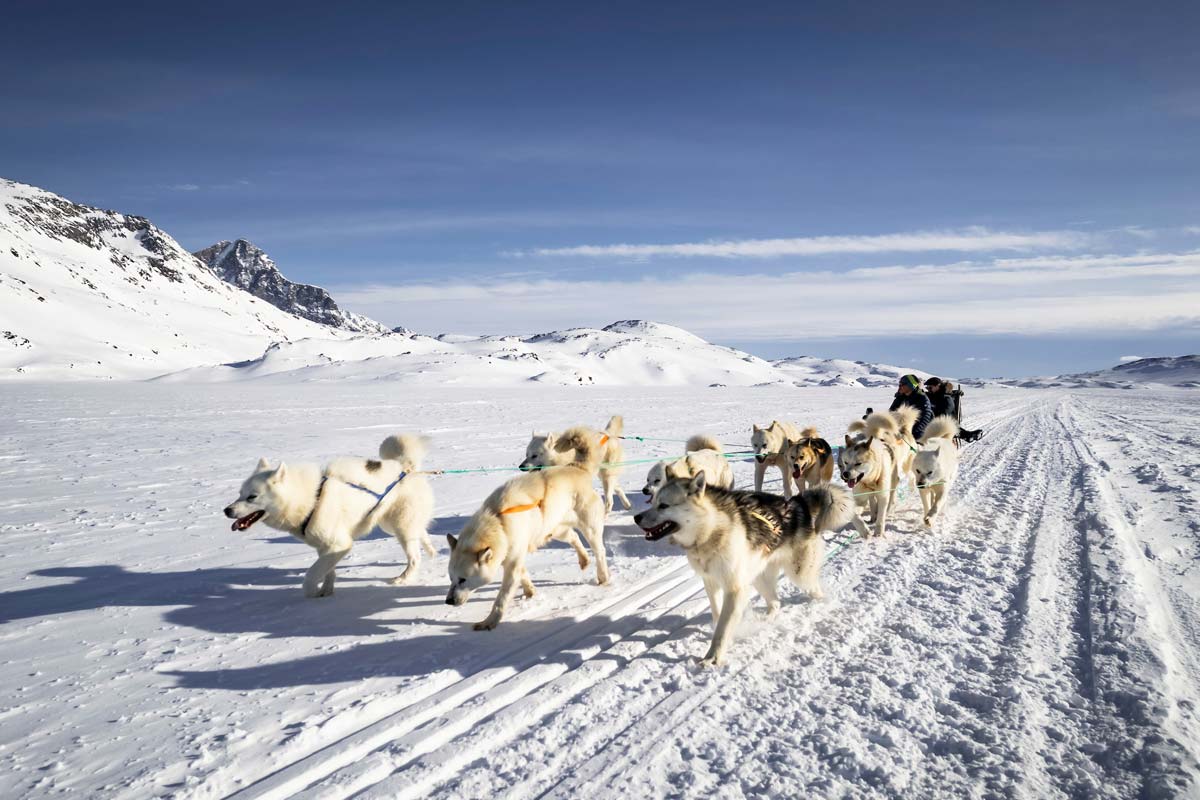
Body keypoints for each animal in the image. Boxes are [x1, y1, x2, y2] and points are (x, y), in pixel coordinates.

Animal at [224, 434, 436, 597]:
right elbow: (328, 572)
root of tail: (405, 467)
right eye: (239, 494)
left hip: (401, 526)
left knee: (415, 557)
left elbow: (310, 577)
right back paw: (431, 550)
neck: (312, 500)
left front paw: (312, 592)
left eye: (252, 497)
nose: (227, 510)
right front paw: (326, 591)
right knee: (421, 532)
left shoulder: (339, 545)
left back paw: (403, 578)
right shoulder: (325, 547)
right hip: (390, 524)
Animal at [451, 429, 609, 628]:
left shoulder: (513, 562)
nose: (448, 600)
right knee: (573, 537)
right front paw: (530, 592)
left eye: (462, 579)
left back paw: (603, 577)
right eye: (450, 577)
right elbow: (524, 576)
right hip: (555, 529)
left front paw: (489, 622)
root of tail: (577, 467)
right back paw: (583, 559)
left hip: (590, 530)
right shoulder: (514, 556)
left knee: (600, 551)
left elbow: (501, 599)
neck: (498, 520)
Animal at [633, 472, 859, 666]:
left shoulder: (734, 588)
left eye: (663, 505)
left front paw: (713, 658)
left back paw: (823, 603)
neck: (710, 530)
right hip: (758, 578)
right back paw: (767, 620)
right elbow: (718, 616)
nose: (636, 518)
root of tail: (797, 503)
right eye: (653, 502)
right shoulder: (711, 583)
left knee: (814, 589)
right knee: (776, 603)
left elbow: (723, 629)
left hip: (799, 574)